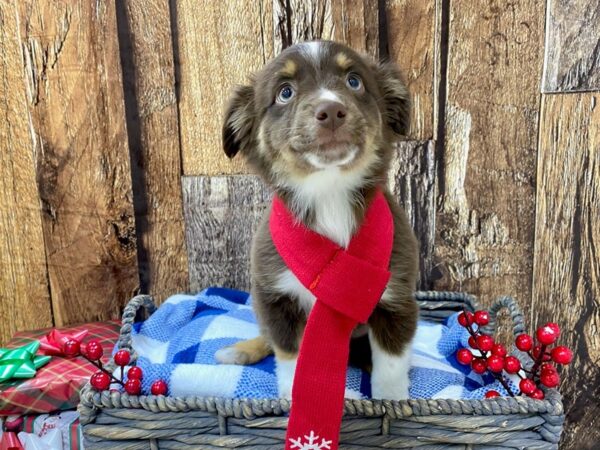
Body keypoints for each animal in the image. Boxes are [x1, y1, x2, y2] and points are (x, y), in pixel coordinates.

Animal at [216, 40, 418, 400]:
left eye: (354, 81)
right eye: (285, 92)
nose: (332, 110)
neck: (329, 195)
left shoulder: (396, 298)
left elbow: (392, 366)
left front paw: (392, 402)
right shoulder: (277, 298)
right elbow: (290, 355)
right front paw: (295, 393)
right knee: (266, 336)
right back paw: (240, 350)